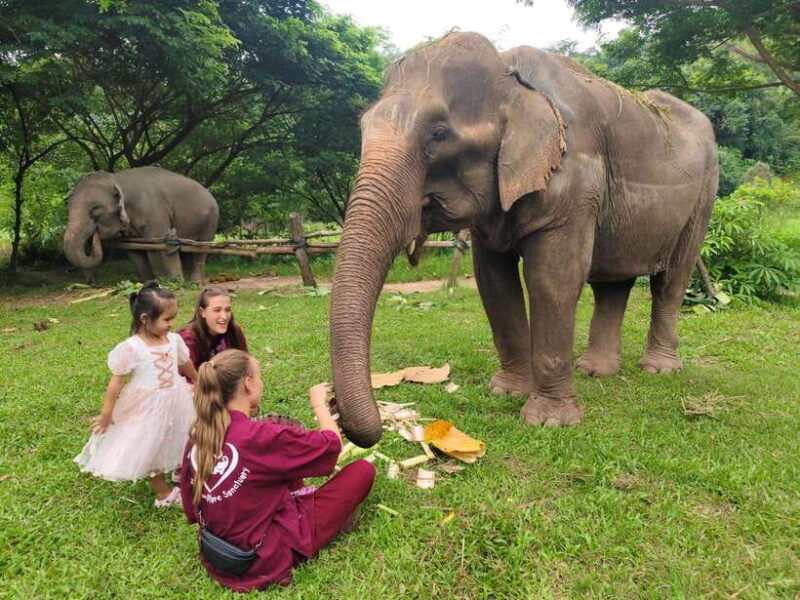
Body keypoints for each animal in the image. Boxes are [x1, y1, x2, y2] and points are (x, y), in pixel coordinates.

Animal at [63, 167, 219, 282]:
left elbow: (156, 246)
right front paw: (149, 284)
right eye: (68, 207)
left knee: (200, 248)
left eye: (95, 208)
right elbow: (135, 250)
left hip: (211, 218)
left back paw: (195, 282)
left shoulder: (154, 211)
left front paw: (167, 282)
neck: (117, 179)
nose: (95, 235)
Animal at [329, 32, 719, 447]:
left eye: (439, 133)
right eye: (362, 127)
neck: (511, 77)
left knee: (671, 279)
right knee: (612, 283)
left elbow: (552, 280)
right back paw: (596, 371)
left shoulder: (574, 181)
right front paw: (506, 392)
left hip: (704, 195)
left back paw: (658, 369)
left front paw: (550, 422)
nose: (344, 419)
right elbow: (494, 282)